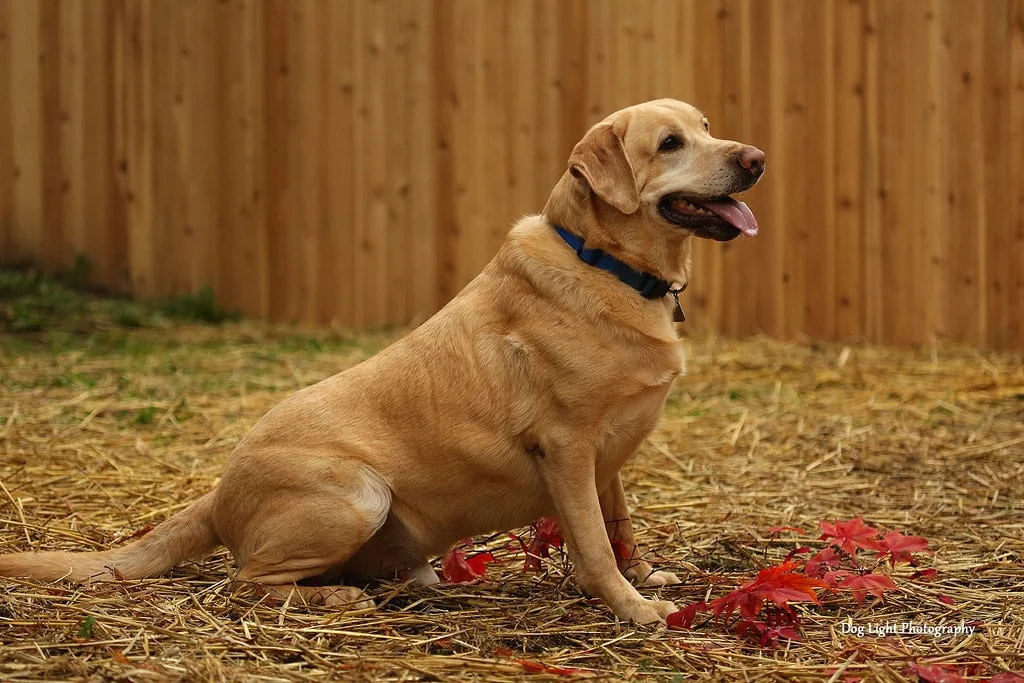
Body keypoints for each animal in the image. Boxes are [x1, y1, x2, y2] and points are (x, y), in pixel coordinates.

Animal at [2, 97, 761, 626]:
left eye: (704, 125)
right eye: (669, 144)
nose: (755, 157)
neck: (606, 263)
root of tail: (217, 493)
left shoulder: (607, 458)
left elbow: (619, 529)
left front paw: (647, 577)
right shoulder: (569, 446)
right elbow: (597, 548)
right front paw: (634, 609)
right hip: (358, 493)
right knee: (246, 583)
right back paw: (336, 601)